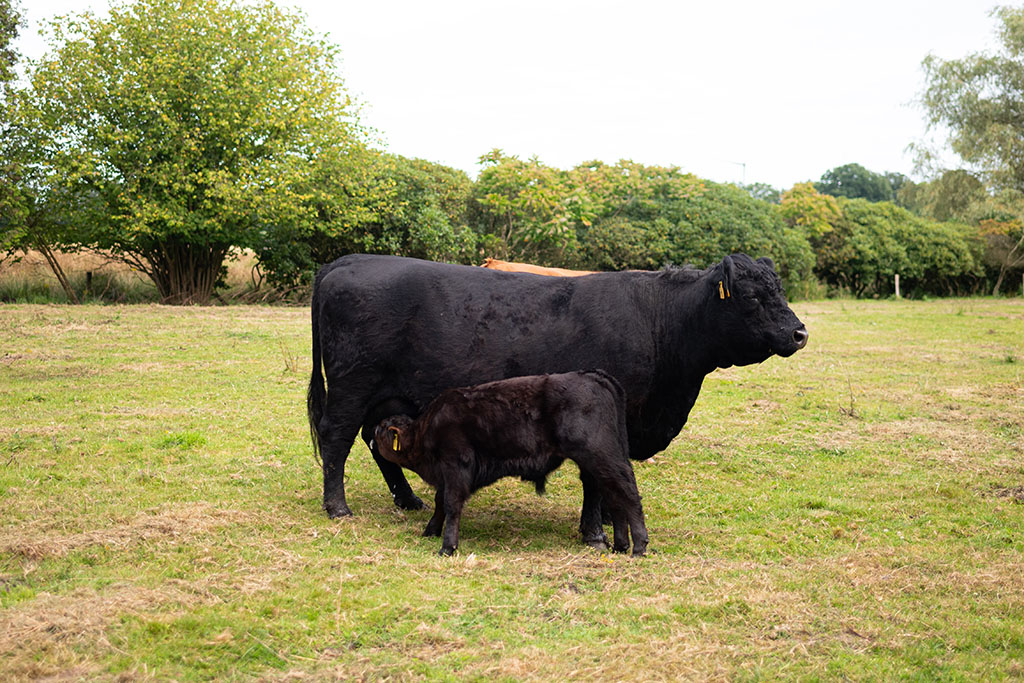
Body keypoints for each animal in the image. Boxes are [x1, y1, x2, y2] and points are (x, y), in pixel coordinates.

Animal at [373, 370, 648, 556]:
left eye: (382, 428)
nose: (373, 431)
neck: (426, 429)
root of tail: (594, 375)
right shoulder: (447, 475)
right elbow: (441, 502)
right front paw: (430, 531)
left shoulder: (455, 467)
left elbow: (451, 505)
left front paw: (447, 547)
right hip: (600, 462)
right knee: (615, 498)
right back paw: (621, 546)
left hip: (601, 457)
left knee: (628, 493)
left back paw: (639, 547)